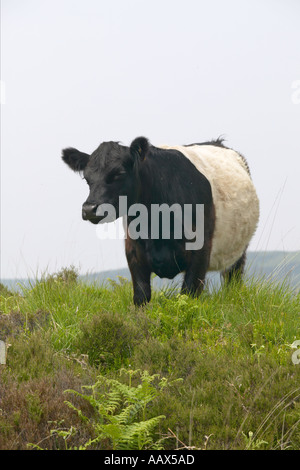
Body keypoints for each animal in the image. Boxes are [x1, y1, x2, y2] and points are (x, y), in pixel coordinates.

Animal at [62, 137, 258, 304]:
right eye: (87, 178)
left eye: (119, 173)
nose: (89, 209)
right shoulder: (134, 251)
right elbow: (141, 296)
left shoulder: (201, 251)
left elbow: (188, 296)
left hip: (238, 253)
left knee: (233, 279)